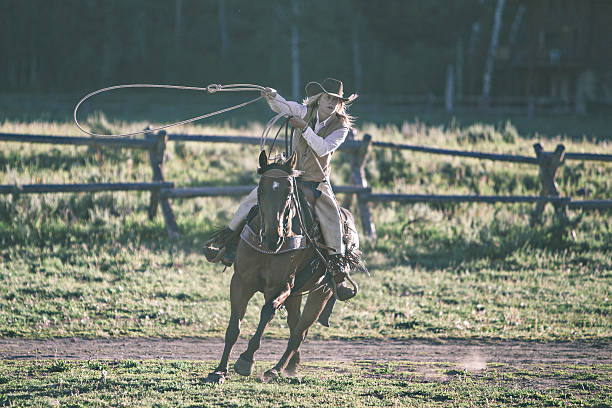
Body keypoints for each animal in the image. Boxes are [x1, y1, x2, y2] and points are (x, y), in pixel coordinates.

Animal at [208, 150, 338, 382]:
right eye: (260, 189)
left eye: (289, 193)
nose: (273, 238)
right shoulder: (240, 282)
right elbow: (233, 327)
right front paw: (220, 370)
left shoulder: (281, 287)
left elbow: (267, 312)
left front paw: (246, 360)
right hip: (296, 296)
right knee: (295, 326)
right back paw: (291, 366)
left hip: (320, 293)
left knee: (299, 333)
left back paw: (276, 369)